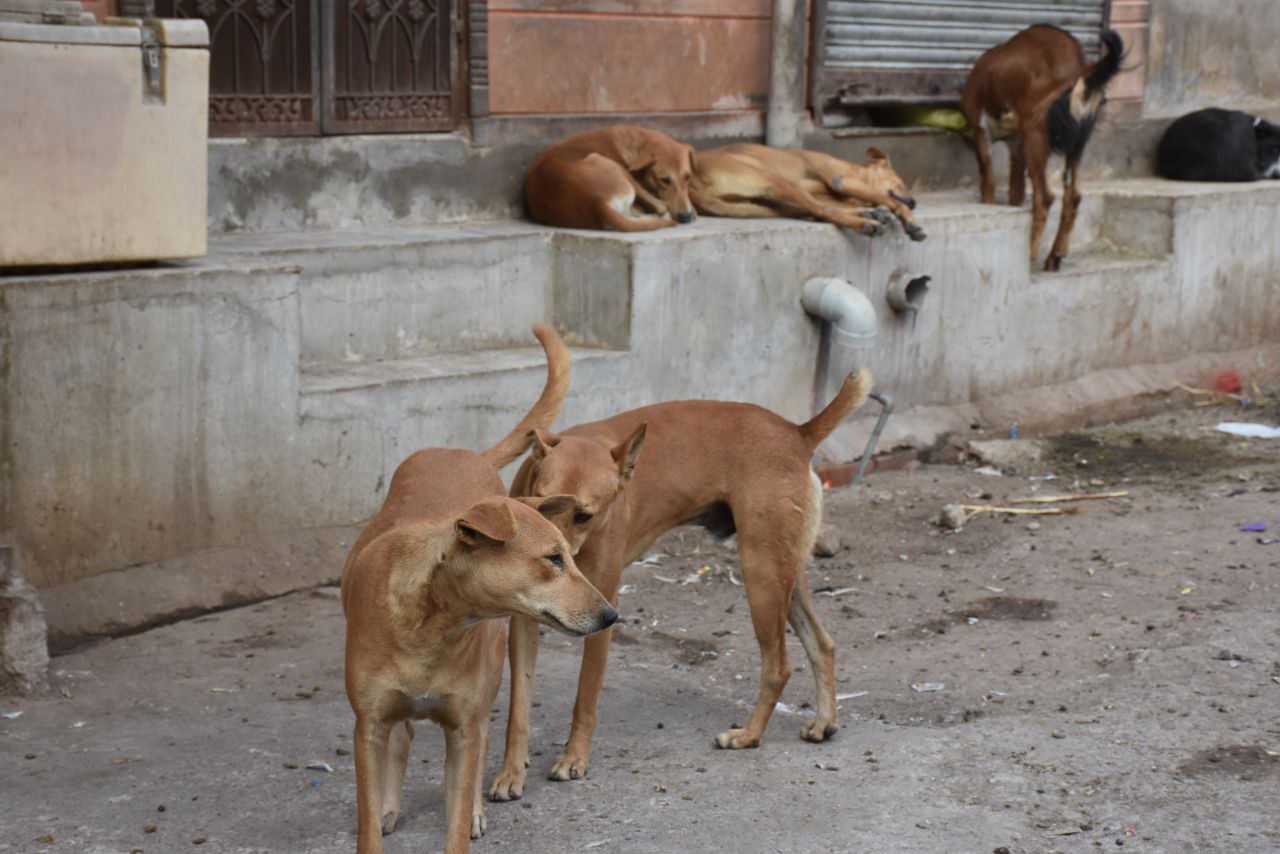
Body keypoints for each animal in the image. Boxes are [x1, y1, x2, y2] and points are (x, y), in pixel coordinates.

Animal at [340, 325, 619, 854]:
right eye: (553, 560)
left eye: (570, 557)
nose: (611, 616)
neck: (431, 625)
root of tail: (466, 454)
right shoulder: (367, 727)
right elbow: (368, 822)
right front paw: (379, 810)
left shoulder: (463, 728)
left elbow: (457, 813)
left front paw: (466, 813)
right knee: (403, 736)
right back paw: (390, 803)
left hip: (490, 672)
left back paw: (473, 807)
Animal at [486, 368, 870, 804]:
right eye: (539, 501)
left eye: (583, 515)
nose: (548, 555)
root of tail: (797, 432)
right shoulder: (523, 622)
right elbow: (518, 709)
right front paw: (511, 772)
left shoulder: (604, 615)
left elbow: (584, 698)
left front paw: (573, 759)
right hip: (785, 573)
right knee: (823, 643)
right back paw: (824, 721)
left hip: (762, 576)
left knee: (779, 665)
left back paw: (749, 735)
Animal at [522, 123, 696, 230]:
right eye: (664, 180)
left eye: (688, 177)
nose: (685, 216)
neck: (637, 144)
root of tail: (595, 205)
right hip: (612, 165)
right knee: (660, 207)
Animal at [686, 142, 926, 239]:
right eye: (901, 183)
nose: (915, 202)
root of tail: (690, 185)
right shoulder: (842, 181)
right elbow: (893, 201)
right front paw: (910, 220)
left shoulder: (829, 192)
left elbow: (835, 204)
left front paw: (875, 208)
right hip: (777, 182)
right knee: (821, 211)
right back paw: (866, 223)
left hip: (774, 202)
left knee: (817, 210)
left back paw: (870, 214)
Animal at [962, 25, 1121, 270]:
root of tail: (1082, 67)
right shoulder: (1017, 146)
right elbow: (1016, 193)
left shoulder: (981, 131)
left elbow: (988, 185)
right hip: (1076, 146)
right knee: (1073, 195)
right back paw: (1054, 256)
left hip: (1035, 134)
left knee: (1045, 196)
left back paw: (1030, 254)